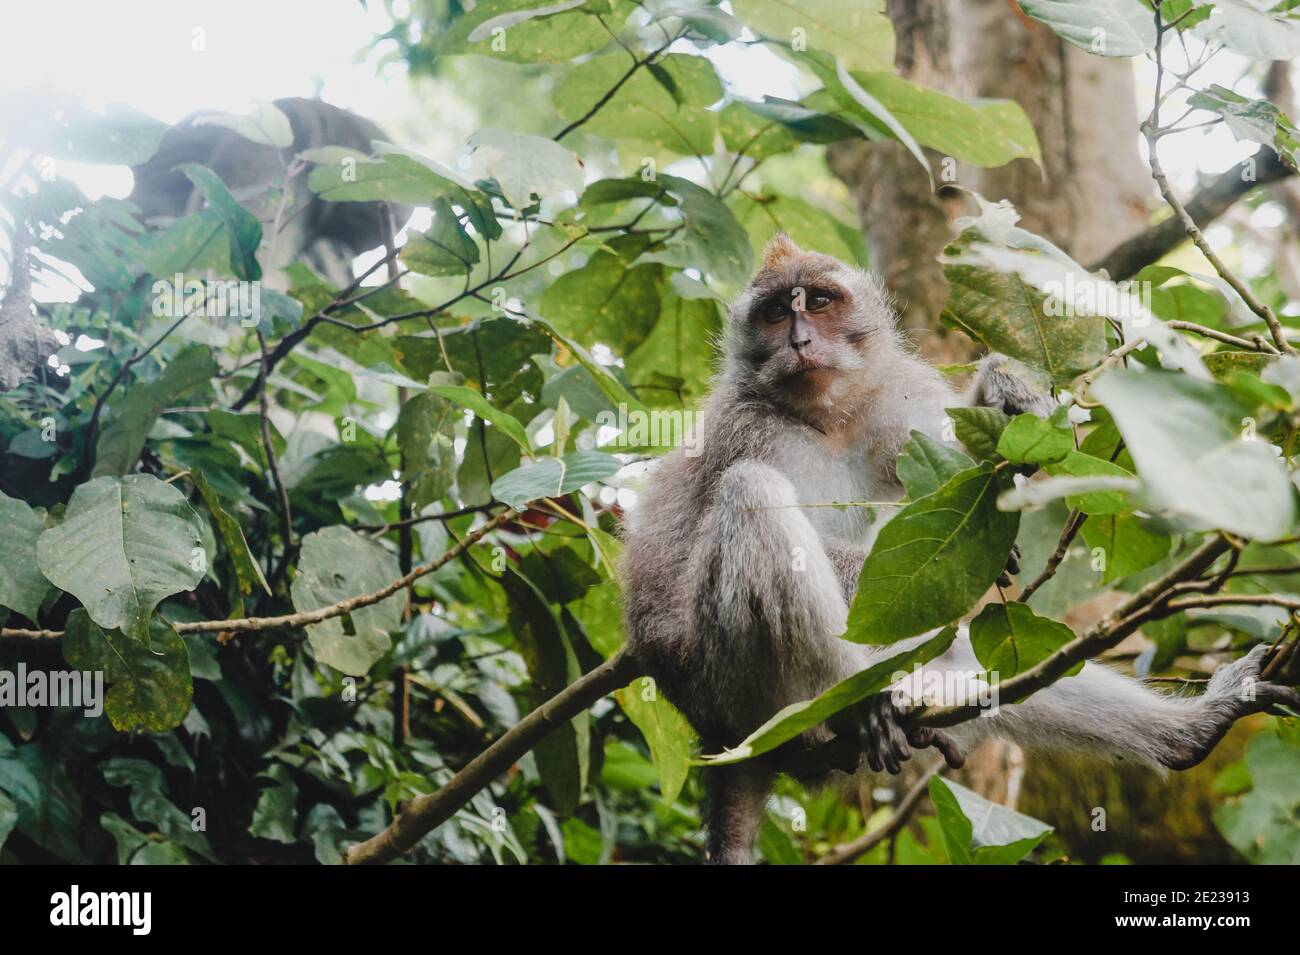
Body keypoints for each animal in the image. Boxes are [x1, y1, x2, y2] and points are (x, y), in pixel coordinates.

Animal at [621, 233, 1300, 867]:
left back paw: (1191, 732)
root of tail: (716, 736)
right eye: (771, 314)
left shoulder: (896, 402)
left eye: (817, 302)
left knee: (984, 669)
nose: (800, 340)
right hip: (737, 684)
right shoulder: (748, 429)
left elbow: (946, 479)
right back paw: (858, 707)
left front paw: (1003, 391)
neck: (829, 417)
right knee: (750, 494)